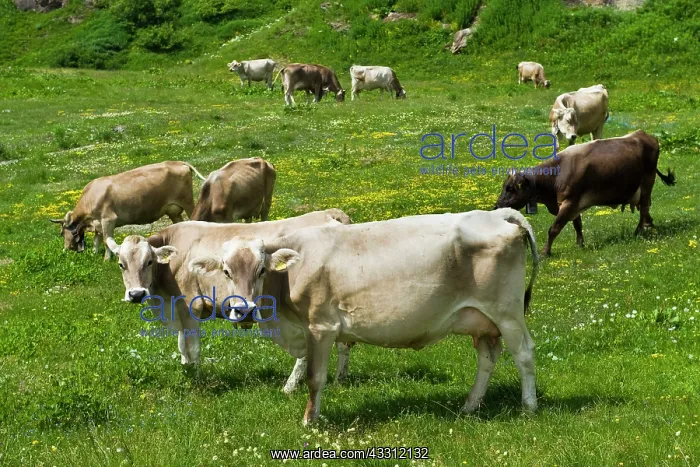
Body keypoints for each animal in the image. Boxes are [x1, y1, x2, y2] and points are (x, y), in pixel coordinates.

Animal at [50, 161, 206, 261]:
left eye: (62, 233)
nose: (66, 250)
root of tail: (177, 162)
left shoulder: (108, 220)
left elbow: (106, 241)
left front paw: (106, 259)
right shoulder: (98, 224)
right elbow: (96, 240)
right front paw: (94, 254)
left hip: (188, 202)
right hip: (173, 210)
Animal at [105, 209, 353, 394]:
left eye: (148, 261)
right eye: (121, 264)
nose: (136, 294)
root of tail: (331, 213)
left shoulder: (191, 305)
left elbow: (193, 347)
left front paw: (196, 380)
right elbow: (181, 345)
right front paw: (185, 370)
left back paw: (291, 386)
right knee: (343, 342)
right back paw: (340, 379)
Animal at [189, 209, 540, 425]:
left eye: (261, 269)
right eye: (226, 271)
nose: (244, 309)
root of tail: (496, 214)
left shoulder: (321, 326)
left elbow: (315, 378)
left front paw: (309, 420)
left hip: (507, 313)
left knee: (523, 353)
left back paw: (529, 407)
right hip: (483, 321)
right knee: (488, 358)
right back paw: (469, 405)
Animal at [495, 130, 676, 256]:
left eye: (510, 188)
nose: (496, 206)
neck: (557, 174)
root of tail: (644, 135)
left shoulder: (569, 202)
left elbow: (554, 228)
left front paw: (545, 252)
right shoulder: (572, 204)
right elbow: (578, 224)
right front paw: (580, 244)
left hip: (647, 183)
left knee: (644, 207)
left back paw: (639, 231)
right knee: (645, 208)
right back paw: (649, 225)